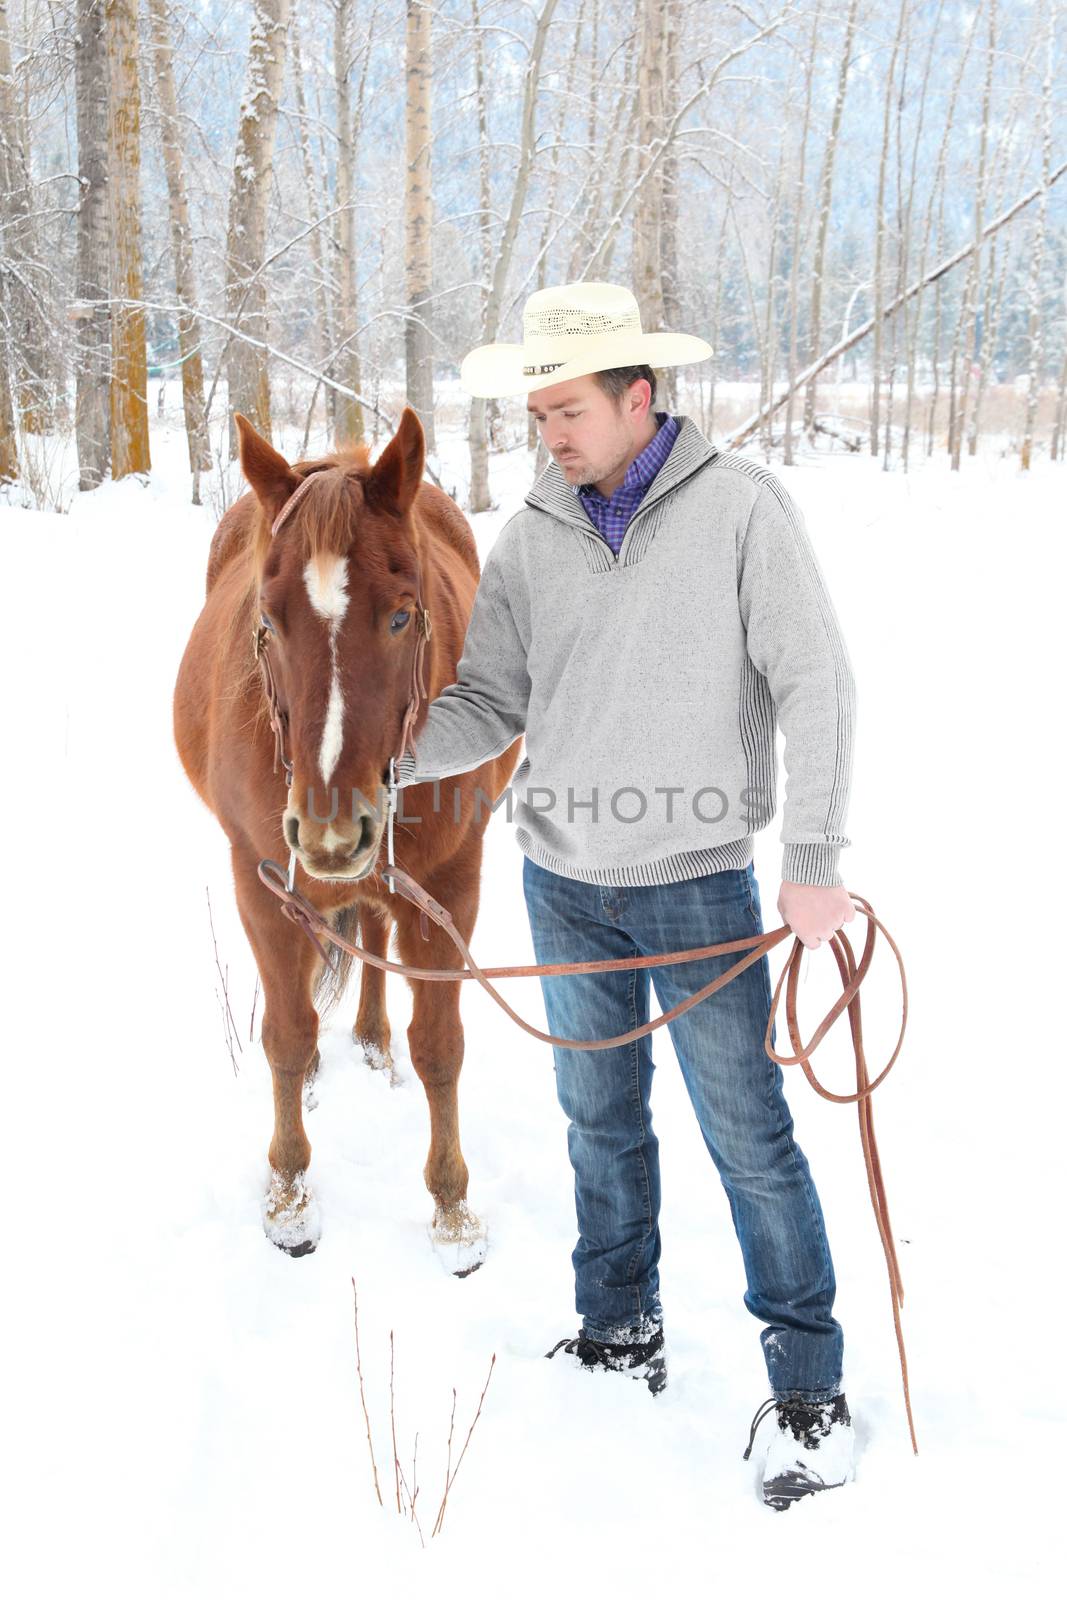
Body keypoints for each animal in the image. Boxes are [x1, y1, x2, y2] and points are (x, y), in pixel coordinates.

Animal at [174, 409, 521, 1273]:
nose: (332, 829)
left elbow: (439, 1045)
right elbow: (286, 1034)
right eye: (267, 622)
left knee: (368, 931)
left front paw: (452, 1214)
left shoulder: (449, 886)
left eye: (401, 614)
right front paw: (289, 1200)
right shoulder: (260, 880)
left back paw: (369, 1038)